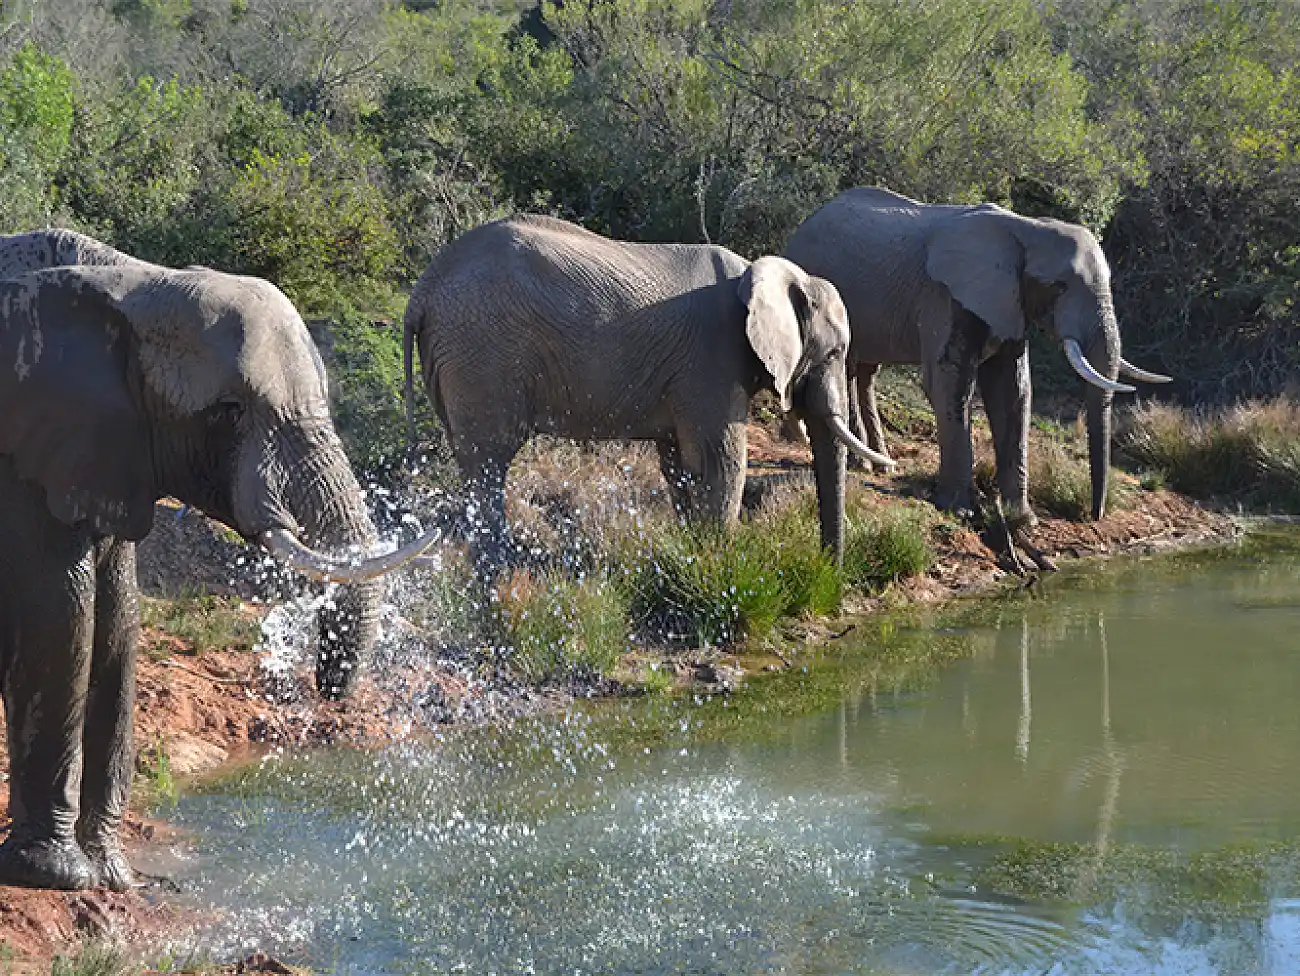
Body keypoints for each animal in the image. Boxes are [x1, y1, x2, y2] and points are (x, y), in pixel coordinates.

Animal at [0, 230, 439, 891]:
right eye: (229, 411)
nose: (329, 692)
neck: (130, 282)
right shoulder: (28, 452)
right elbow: (61, 619)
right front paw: (58, 875)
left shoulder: (109, 450)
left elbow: (119, 623)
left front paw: (114, 875)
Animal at [402, 214, 893, 573]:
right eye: (835, 352)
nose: (829, 572)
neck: (764, 273)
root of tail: (423, 288)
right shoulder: (712, 359)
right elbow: (719, 461)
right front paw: (722, 567)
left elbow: (678, 465)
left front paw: (696, 552)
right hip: (482, 352)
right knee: (489, 461)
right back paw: (497, 568)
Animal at [784, 187, 1169, 539]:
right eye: (1059, 286)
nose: (1095, 515)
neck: (1025, 228)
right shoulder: (946, 296)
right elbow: (948, 382)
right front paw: (961, 510)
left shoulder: (1010, 302)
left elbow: (1012, 390)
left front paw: (1023, 520)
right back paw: (842, 457)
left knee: (863, 372)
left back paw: (880, 467)